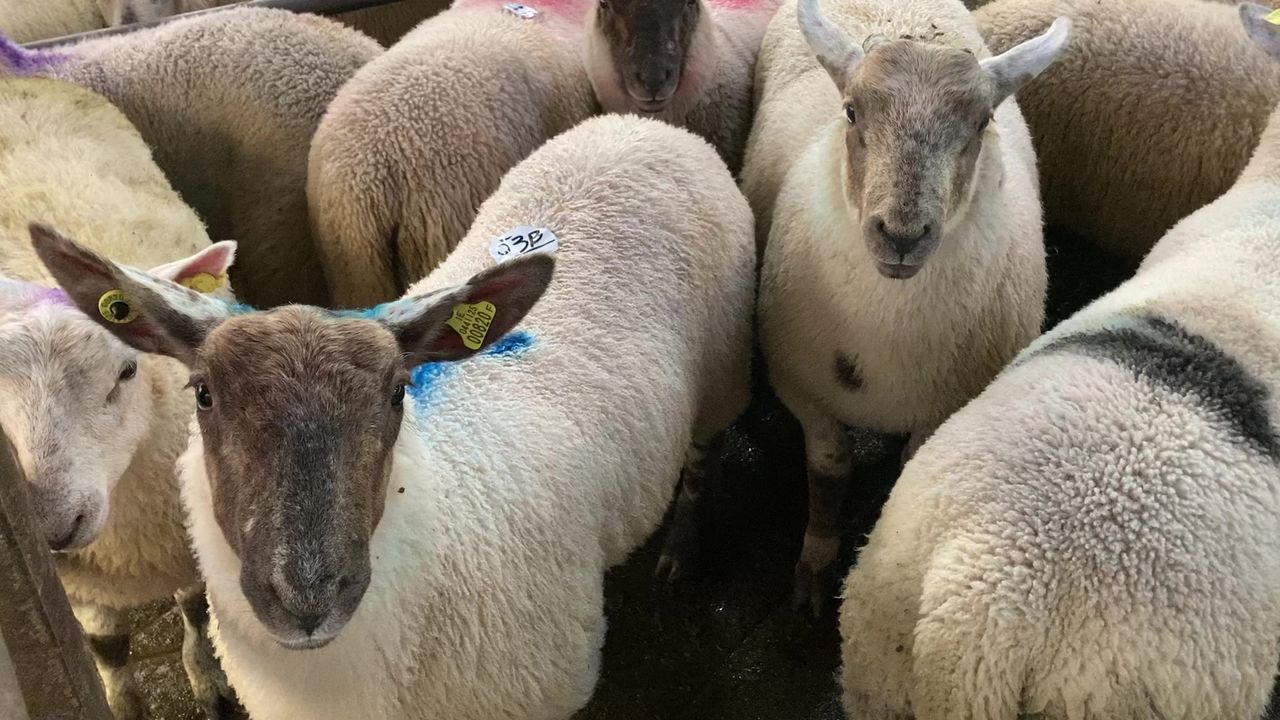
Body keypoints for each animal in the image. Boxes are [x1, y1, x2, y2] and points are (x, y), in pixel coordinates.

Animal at [0, 76, 240, 719]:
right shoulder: (78, 585)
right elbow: (107, 648)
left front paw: (208, 681)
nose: (50, 530)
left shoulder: (185, 533)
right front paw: (123, 701)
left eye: (128, 370)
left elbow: (196, 609)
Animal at [746, 0, 1069, 613]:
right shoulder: (803, 389)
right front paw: (815, 566)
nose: (900, 236)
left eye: (982, 122)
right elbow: (829, 473)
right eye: (850, 112)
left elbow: (903, 477)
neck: (888, 334)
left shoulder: (942, 410)